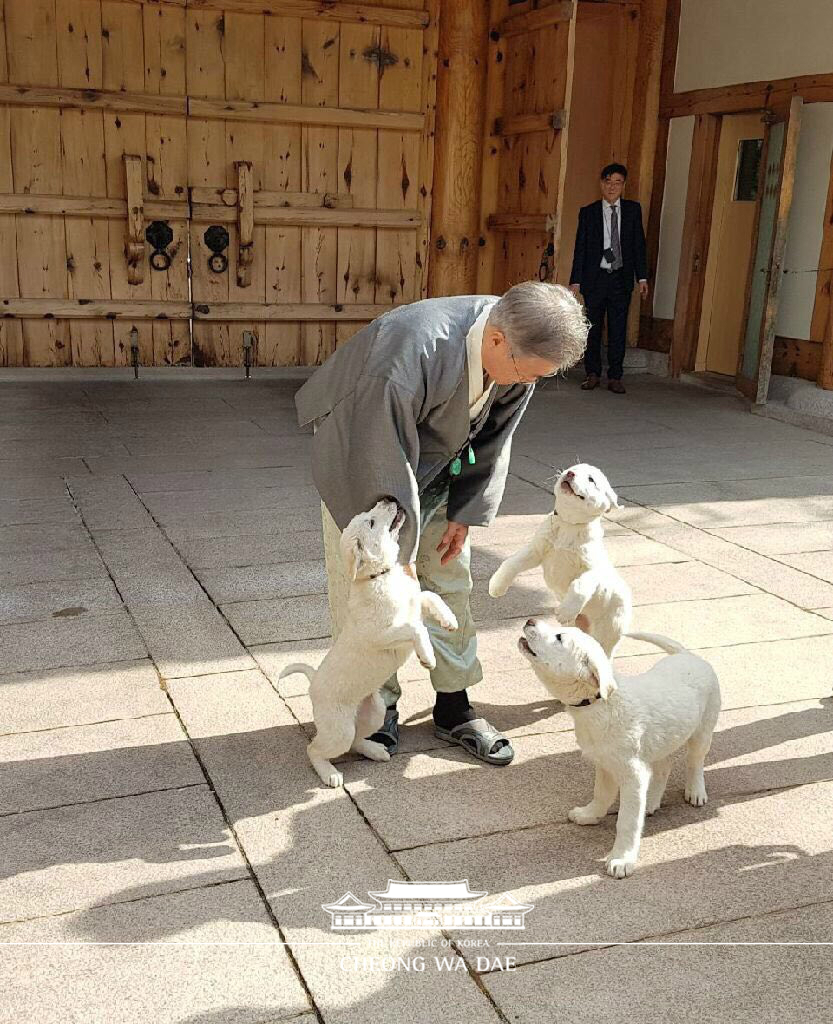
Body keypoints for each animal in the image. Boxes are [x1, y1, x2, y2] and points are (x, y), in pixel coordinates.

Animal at [282, 499, 459, 786]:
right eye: (372, 522)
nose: (389, 500)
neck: (380, 576)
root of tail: (313, 682)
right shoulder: (381, 635)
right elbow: (415, 629)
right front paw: (428, 657)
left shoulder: (414, 605)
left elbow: (430, 596)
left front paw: (449, 620)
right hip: (339, 728)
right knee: (314, 749)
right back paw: (330, 774)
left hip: (374, 711)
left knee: (356, 739)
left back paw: (375, 750)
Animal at [487, 464, 631, 655]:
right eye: (573, 468)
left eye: (591, 479)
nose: (570, 473)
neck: (569, 525)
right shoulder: (537, 550)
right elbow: (511, 563)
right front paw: (497, 586)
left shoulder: (593, 569)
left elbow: (580, 584)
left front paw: (566, 610)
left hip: (608, 628)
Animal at [516, 618, 717, 876]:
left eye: (559, 637)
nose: (530, 620)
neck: (599, 705)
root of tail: (687, 654)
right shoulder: (605, 764)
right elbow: (601, 795)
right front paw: (589, 814)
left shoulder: (632, 775)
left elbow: (627, 821)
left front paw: (622, 859)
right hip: (661, 740)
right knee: (664, 767)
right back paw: (651, 800)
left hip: (703, 730)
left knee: (695, 762)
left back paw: (695, 791)